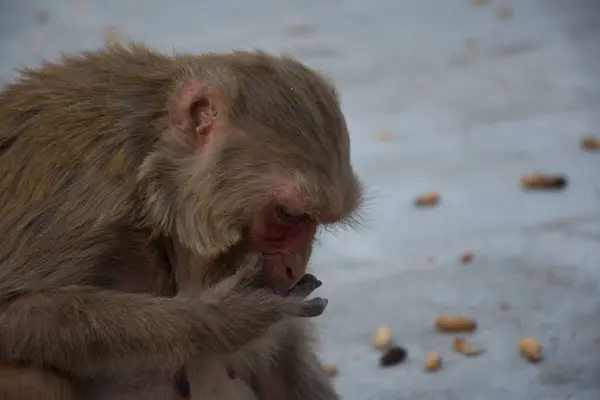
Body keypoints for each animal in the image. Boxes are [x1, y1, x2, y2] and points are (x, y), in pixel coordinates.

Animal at [0, 42, 364, 398]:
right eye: (287, 214)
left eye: (313, 221)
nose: (295, 268)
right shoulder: (85, 197)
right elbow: (10, 312)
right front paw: (220, 316)